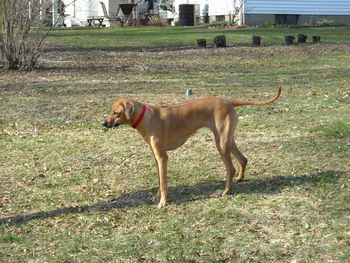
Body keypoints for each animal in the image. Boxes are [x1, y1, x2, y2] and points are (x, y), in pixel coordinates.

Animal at [102, 88, 280, 208]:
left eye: (116, 113)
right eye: (111, 111)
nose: (103, 123)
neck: (147, 117)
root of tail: (229, 101)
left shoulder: (162, 157)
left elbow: (164, 182)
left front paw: (163, 202)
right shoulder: (155, 156)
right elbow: (159, 180)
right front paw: (157, 196)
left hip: (221, 143)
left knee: (230, 168)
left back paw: (226, 191)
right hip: (227, 140)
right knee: (243, 159)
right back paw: (240, 179)